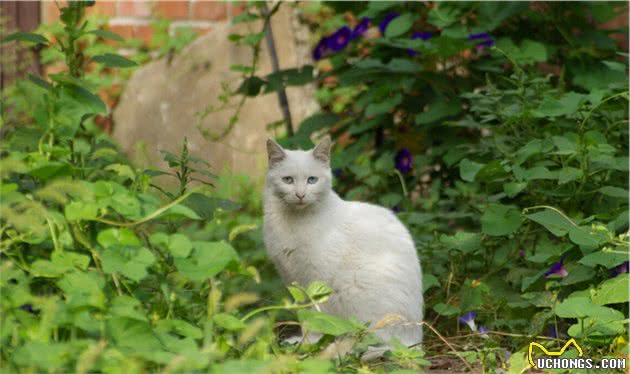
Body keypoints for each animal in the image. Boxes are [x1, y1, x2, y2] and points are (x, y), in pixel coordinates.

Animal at [262, 136, 424, 352]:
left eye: (312, 180)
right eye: (288, 180)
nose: (300, 195)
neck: (293, 220)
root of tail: (414, 343)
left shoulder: (317, 280)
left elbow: (316, 316)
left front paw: (311, 344)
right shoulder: (292, 277)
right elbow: (303, 315)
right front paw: (301, 344)